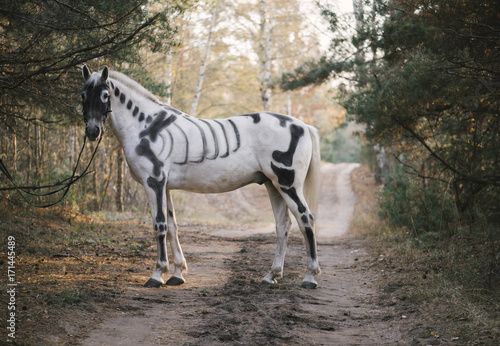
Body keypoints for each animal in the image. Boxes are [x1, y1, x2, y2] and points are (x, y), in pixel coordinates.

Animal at [78, 65, 320, 290]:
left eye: (105, 95)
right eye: (83, 95)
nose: (92, 131)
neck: (147, 126)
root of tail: (303, 126)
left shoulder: (153, 182)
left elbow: (159, 226)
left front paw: (157, 274)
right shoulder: (165, 187)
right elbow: (172, 227)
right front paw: (177, 273)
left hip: (288, 184)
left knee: (305, 219)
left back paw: (310, 277)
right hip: (273, 185)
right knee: (283, 225)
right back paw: (272, 275)